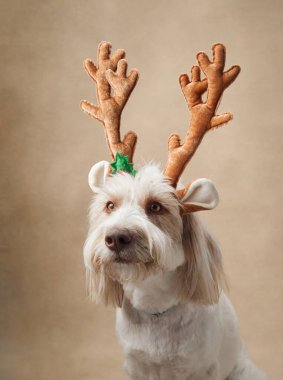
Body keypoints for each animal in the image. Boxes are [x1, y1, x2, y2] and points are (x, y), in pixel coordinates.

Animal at [84, 163, 268, 380]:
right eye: (110, 206)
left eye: (155, 206)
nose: (115, 238)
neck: (154, 305)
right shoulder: (136, 364)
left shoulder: (200, 369)